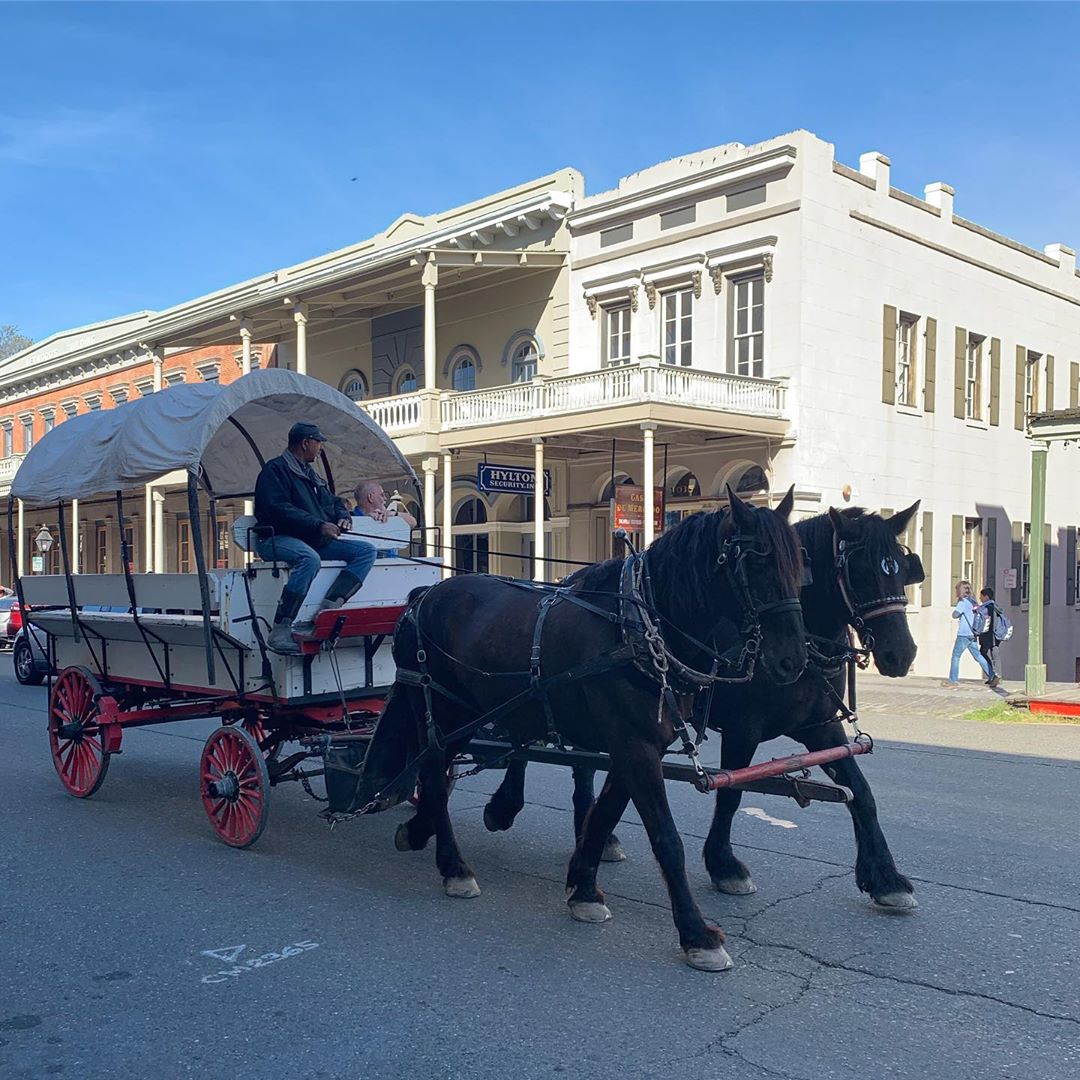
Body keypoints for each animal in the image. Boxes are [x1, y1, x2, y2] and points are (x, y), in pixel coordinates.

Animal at [365, 488, 812, 972]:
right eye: (758, 561)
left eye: (799, 563)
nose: (793, 660)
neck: (637, 629)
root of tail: (422, 596)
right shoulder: (635, 747)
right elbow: (666, 838)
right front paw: (697, 933)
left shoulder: (635, 747)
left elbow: (603, 814)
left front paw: (582, 888)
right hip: (442, 710)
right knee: (432, 772)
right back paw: (453, 866)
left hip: (465, 715)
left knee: (435, 774)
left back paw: (419, 831)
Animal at [486, 501, 924, 907]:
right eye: (861, 570)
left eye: (903, 570)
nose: (901, 654)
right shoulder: (743, 728)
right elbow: (731, 794)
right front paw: (724, 865)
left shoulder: (819, 726)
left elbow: (860, 791)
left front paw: (885, 877)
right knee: (529, 742)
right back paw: (508, 806)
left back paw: (596, 837)